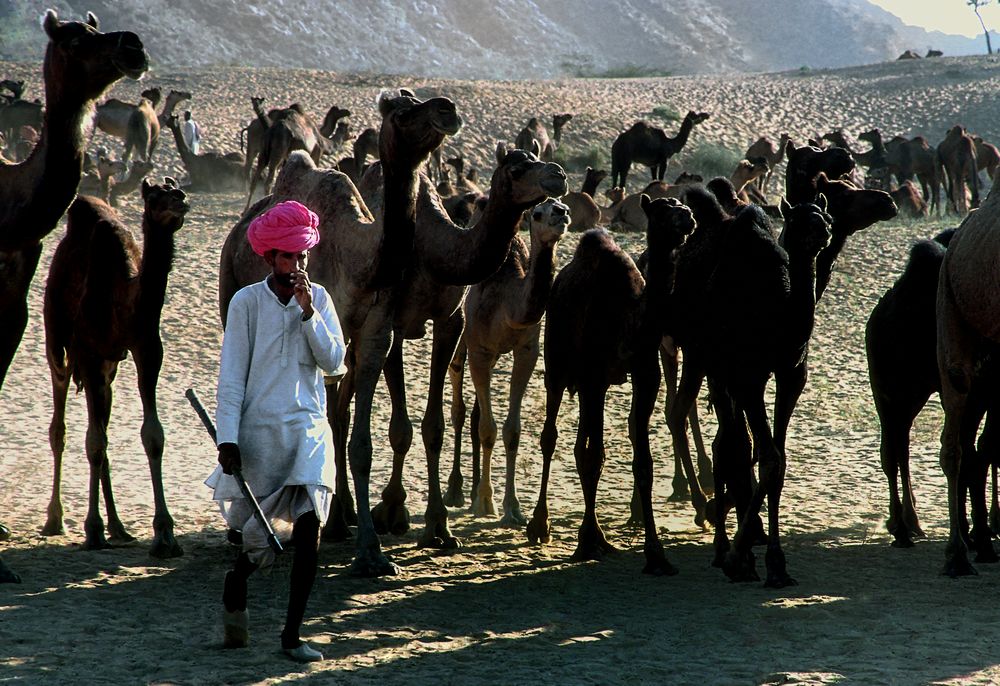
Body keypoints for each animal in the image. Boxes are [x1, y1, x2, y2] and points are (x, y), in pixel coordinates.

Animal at [42, 179, 189, 560]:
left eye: (177, 190)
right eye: (154, 197)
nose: (180, 201)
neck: (125, 299)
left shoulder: (146, 349)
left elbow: (152, 436)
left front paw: (165, 535)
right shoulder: (89, 351)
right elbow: (93, 441)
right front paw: (92, 530)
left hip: (108, 368)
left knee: (101, 424)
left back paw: (119, 526)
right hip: (57, 339)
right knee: (61, 423)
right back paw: (55, 519)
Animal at [219, 88, 460, 576]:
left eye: (421, 98)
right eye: (403, 113)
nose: (446, 108)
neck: (360, 261)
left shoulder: (373, 333)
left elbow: (359, 441)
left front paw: (371, 550)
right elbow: (332, 424)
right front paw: (344, 533)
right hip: (226, 288)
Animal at [524, 199, 696, 576]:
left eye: (681, 204)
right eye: (661, 209)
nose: (688, 217)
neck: (632, 321)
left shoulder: (645, 374)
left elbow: (641, 462)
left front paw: (656, 554)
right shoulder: (594, 376)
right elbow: (591, 455)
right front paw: (589, 540)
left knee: (580, 442)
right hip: (557, 364)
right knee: (551, 436)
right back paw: (539, 525)